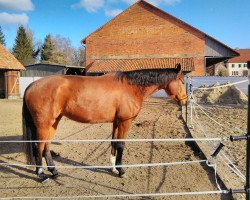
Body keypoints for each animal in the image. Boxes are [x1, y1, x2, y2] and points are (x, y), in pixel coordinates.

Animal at [22, 63, 187, 181]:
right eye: (182, 81)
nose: (185, 101)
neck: (131, 88)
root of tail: (31, 85)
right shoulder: (125, 122)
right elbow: (121, 145)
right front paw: (121, 171)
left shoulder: (116, 122)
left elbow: (113, 143)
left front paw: (113, 167)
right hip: (44, 125)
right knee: (38, 147)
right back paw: (41, 175)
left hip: (53, 123)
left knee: (46, 147)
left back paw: (54, 172)